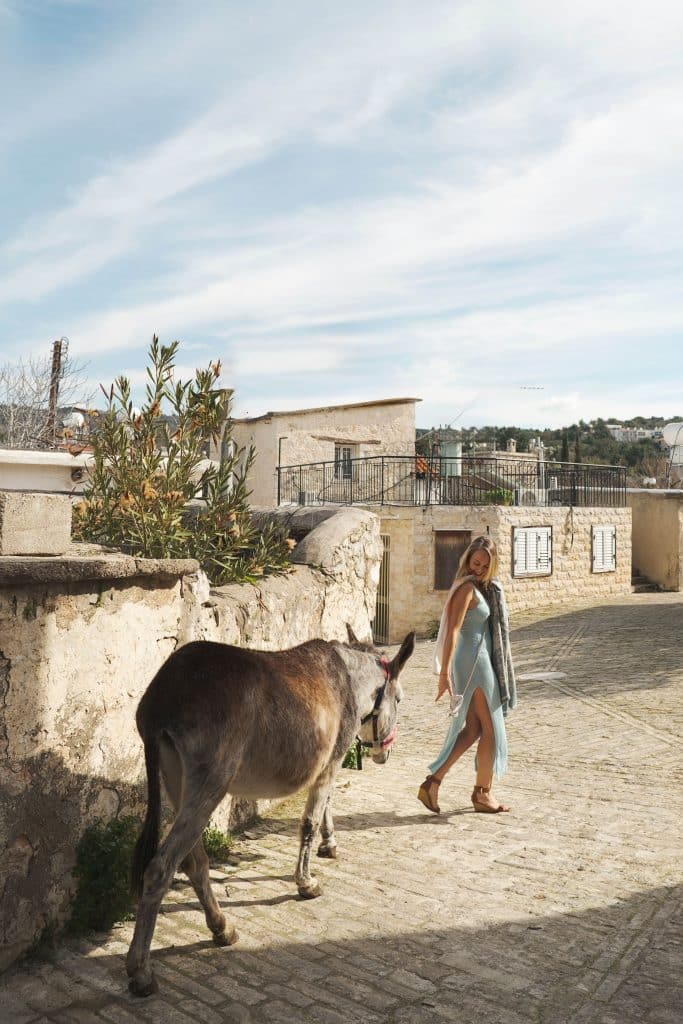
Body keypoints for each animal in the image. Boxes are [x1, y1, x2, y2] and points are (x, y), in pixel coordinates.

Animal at [125, 629, 415, 996]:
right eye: (400, 700)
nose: (384, 753)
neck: (350, 680)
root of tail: (161, 698)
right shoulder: (331, 761)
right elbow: (309, 821)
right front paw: (306, 882)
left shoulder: (325, 765)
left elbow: (326, 806)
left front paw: (329, 844)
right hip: (210, 784)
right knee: (160, 868)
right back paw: (141, 971)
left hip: (178, 782)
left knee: (194, 862)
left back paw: (221, 928)